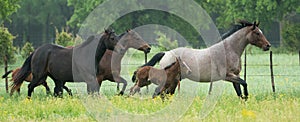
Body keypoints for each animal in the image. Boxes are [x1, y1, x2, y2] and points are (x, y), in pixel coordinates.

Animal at [131, 20, 272, 99]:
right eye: (257, 33)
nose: (268, 46)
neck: (228, 50)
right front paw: (247, 96)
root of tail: (166, 53)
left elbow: (239, 92)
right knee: (160, 92)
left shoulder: (234, 76)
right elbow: (244, 83)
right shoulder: (227, 76)